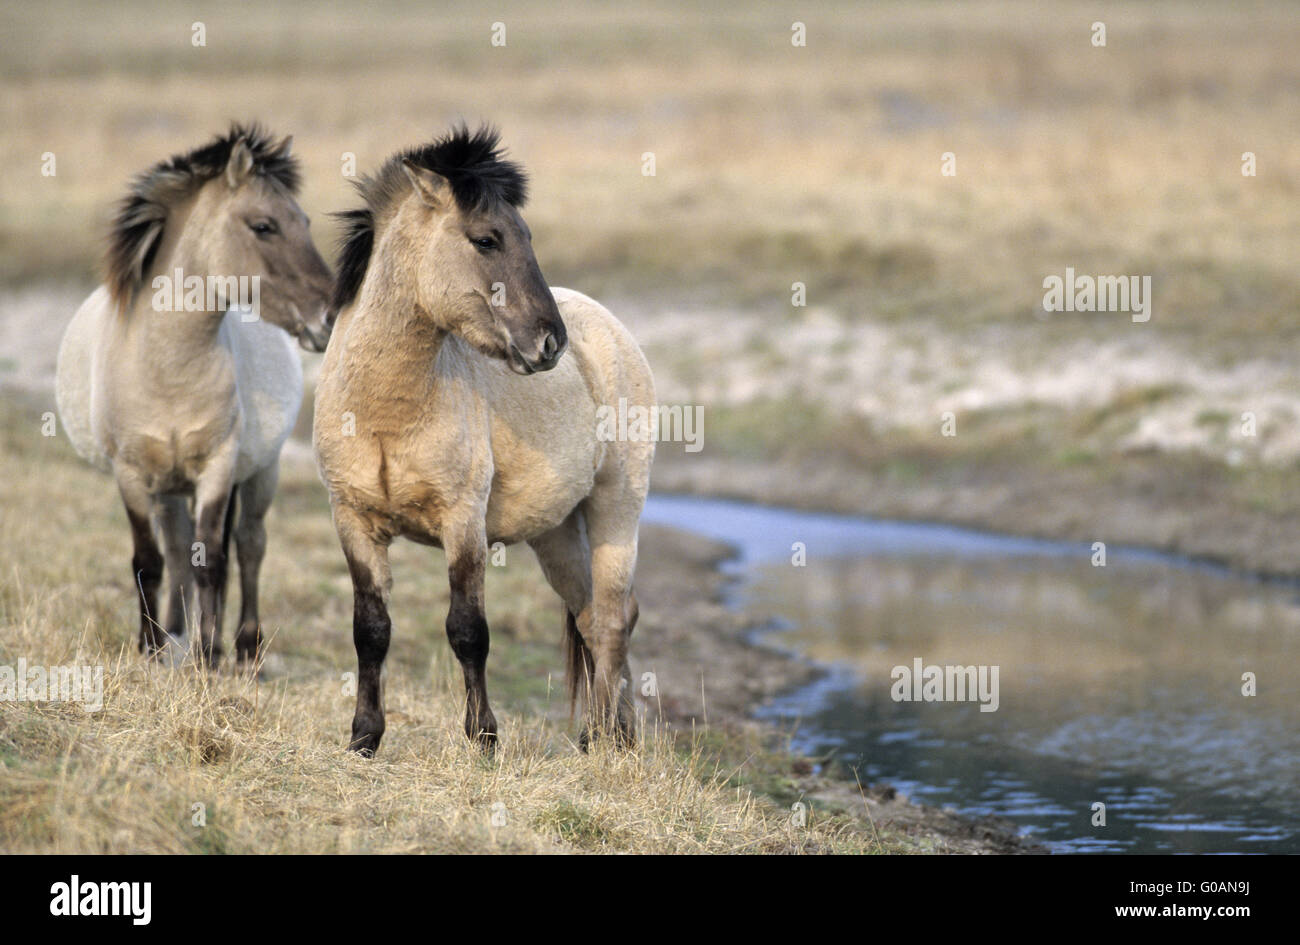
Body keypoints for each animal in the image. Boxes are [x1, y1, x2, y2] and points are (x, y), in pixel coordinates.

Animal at [54, 125, 335, 670]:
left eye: (306, 221)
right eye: (264, 225)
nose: (329, 317)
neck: (169, 368)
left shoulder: (219, 470)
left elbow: (214, 561)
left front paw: (207, 658)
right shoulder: (132, 475)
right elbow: (150, 561)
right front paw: (151, 648)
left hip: (261, 473)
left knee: (249, 546)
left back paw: (242, 647)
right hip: (168, 488)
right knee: (178, 549)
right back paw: (175, 633)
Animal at [313, 125, 655, 759]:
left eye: (526, 235)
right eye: (486, 239)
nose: (550, 342)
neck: (384, 414)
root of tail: (608, 325)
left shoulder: (462, 521)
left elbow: (467, 631)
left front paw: (484, 739)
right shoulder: (353, 522)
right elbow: (370, 631)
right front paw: (364, 738)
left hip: (617, 509)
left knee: (615, 616)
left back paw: (601, 738)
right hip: (555, 533)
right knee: (592, 616)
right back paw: (611, 734)